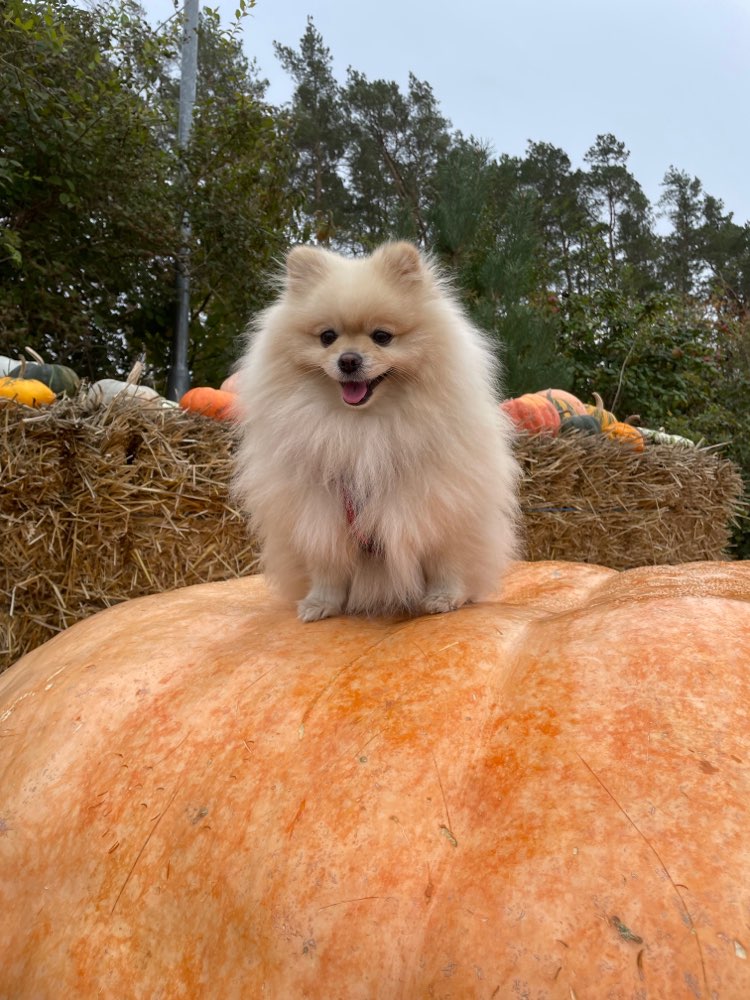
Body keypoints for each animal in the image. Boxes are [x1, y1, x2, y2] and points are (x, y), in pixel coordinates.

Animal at [232, 239, 520, 620]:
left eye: (382, 337)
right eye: (327, 337)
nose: (349, 360)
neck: (362, 427)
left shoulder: (441, 504)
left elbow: (445, 561)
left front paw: (444, 598)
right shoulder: (319, 515)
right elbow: (327, 567)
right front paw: (321, 604)